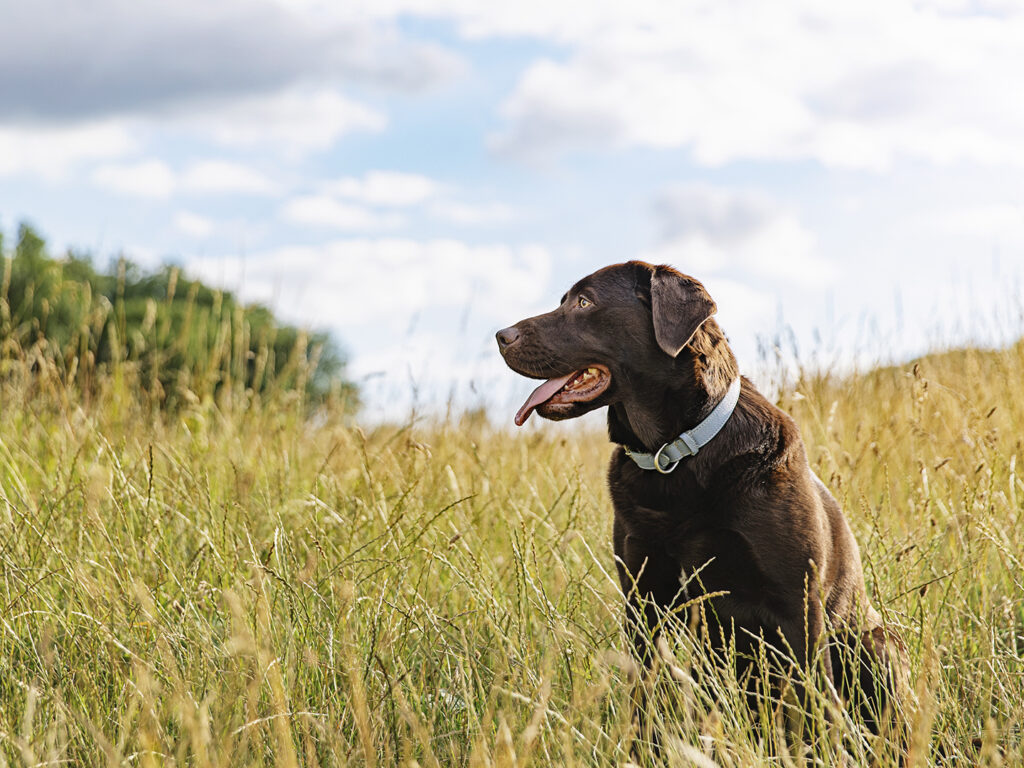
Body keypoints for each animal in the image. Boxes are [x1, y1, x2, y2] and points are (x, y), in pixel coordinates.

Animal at [495, 264, 905, 745]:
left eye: (584, 302)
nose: (500, 335)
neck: (672, 455)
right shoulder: (644, 604)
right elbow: (644, 699)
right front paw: (641, 750)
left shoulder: (798, 608)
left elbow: (811, 711)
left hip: (876, 644)